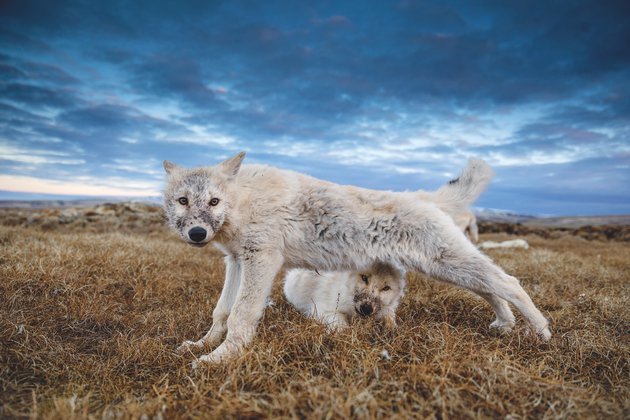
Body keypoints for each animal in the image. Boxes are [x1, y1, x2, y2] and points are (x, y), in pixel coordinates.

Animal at [164, 153, 552, 366]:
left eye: (213, 201)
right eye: (183, 201)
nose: (197, 233)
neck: (243, 199)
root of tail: (420, 196)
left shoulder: (262, 261)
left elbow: (241, 317)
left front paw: (219, 360)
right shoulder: (236, 261)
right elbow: (222, 313)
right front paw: (202, 346)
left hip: (447, 263)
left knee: (507, 282)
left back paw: (542, 332)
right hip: (449, 268)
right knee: (489, 288)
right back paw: (505, 324)